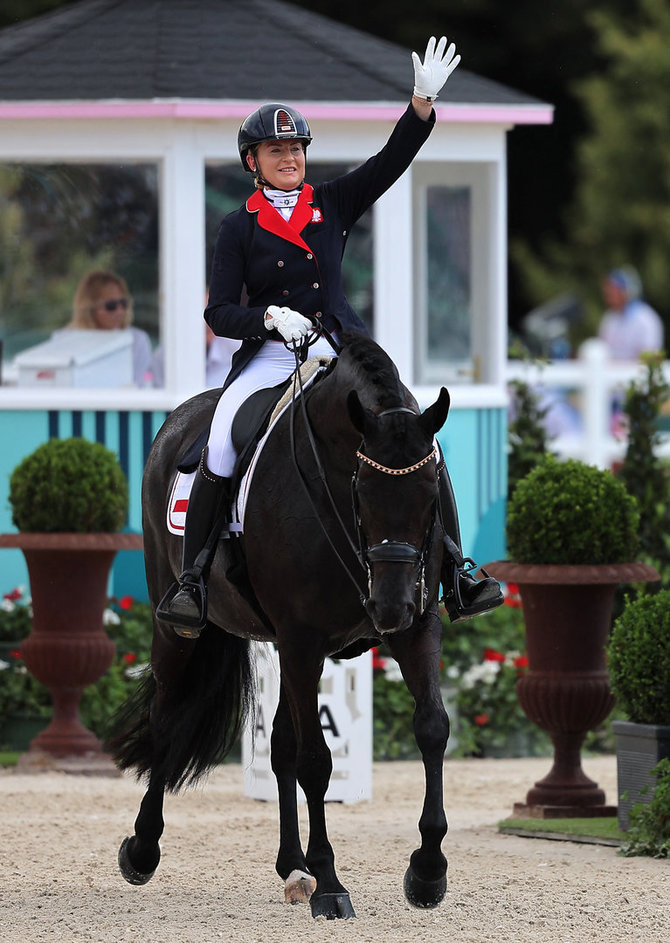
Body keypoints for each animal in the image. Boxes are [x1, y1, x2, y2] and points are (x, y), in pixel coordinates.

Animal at [111, 328, 452, 920]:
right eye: (363, 491)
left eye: (432, 492)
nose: (388, 608)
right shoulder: (302, 641)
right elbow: (317, 760)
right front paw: (332, 883)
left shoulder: (416, 628)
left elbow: (431, 727)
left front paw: (427, 871)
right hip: (178, 630)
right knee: (168, 718)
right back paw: (143, 848)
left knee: (279, 746)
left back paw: (292, 867)